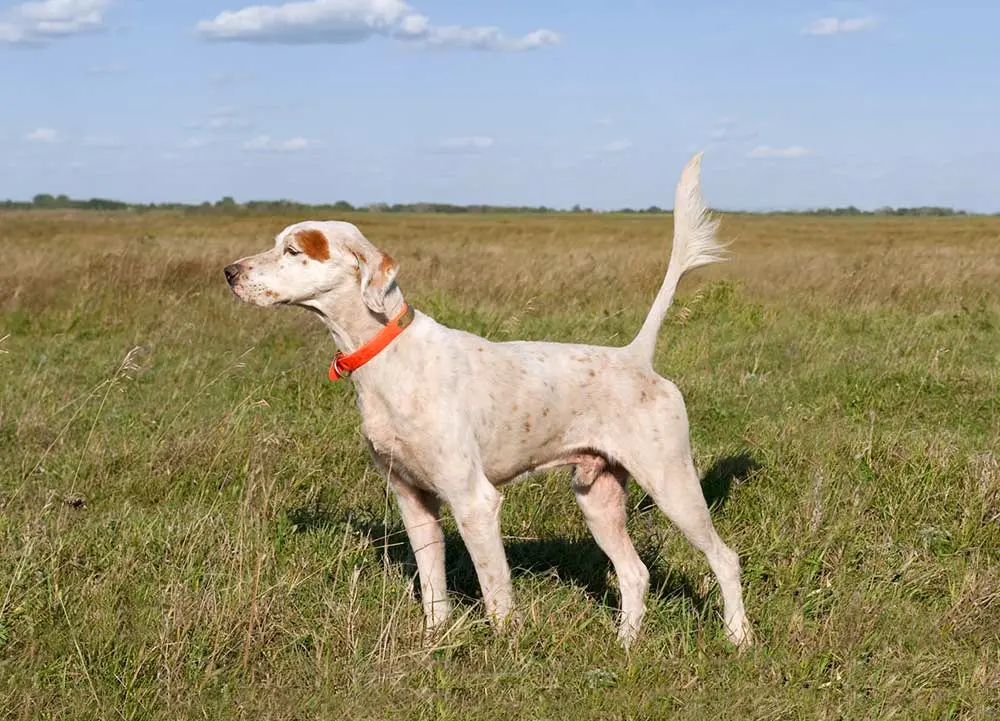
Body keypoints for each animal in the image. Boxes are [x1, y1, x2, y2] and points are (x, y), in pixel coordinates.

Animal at [221, 152, 752, 648]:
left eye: (292, 249)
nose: (229, 272)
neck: (389, 358)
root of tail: (636, 357)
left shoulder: (474, 500)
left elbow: (496, 594)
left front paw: (504, 650)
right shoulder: (413, 500)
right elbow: (433, 590)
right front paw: (435, 641)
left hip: (672, 484)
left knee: (724, 558)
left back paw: (739, 637)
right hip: (597, 497)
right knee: (635, 573)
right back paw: (625, 643)